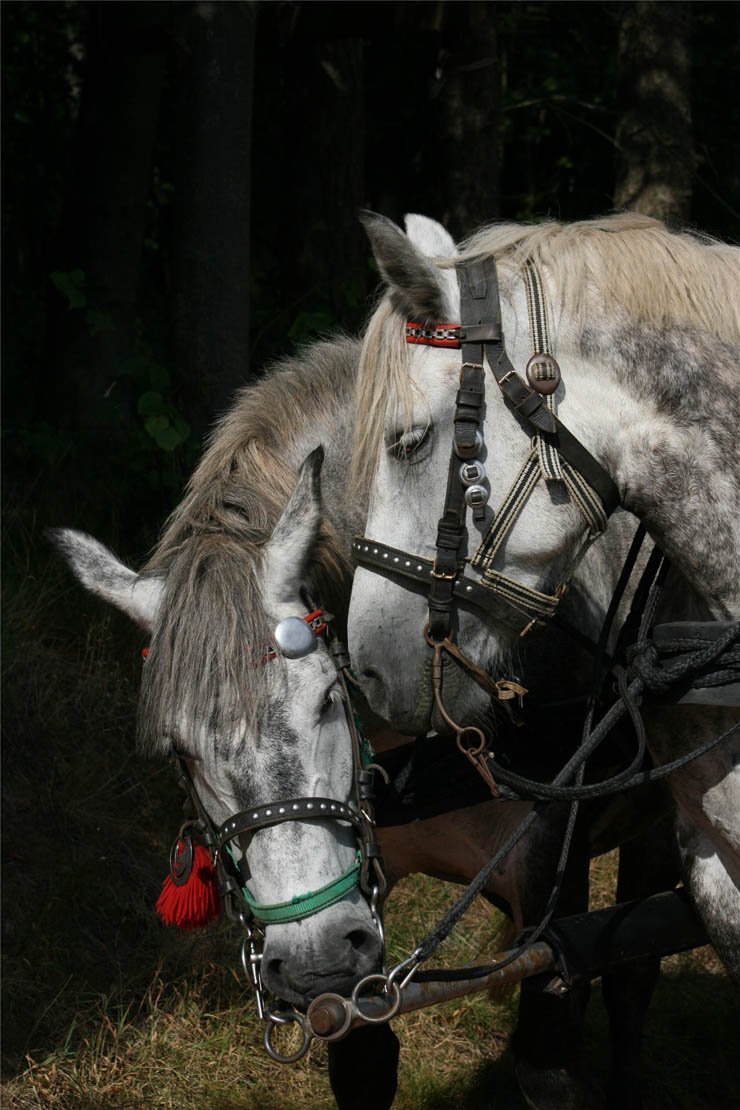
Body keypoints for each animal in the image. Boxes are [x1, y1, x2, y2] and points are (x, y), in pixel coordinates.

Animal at [52, 334, 682, 1109]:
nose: (313, 956)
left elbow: (551, 1048)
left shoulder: (549, 890)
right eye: (179, 750)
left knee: (633, 970)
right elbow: (361, 1056)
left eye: (327, 697)